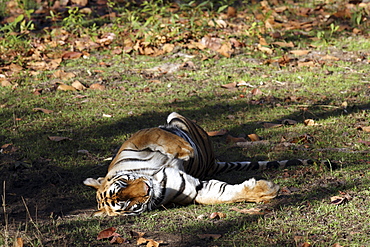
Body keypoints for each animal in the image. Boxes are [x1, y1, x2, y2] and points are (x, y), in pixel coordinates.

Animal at [84, 112, 310, 216]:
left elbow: (159, 137)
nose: (146, 189)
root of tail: (212, 162)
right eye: (126, 203)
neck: (154, 177)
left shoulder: (137, 140)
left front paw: (184, 150)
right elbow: (223, 194)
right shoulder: (194, 188)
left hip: (176, 118)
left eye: (123, 184)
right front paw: (268, 190)